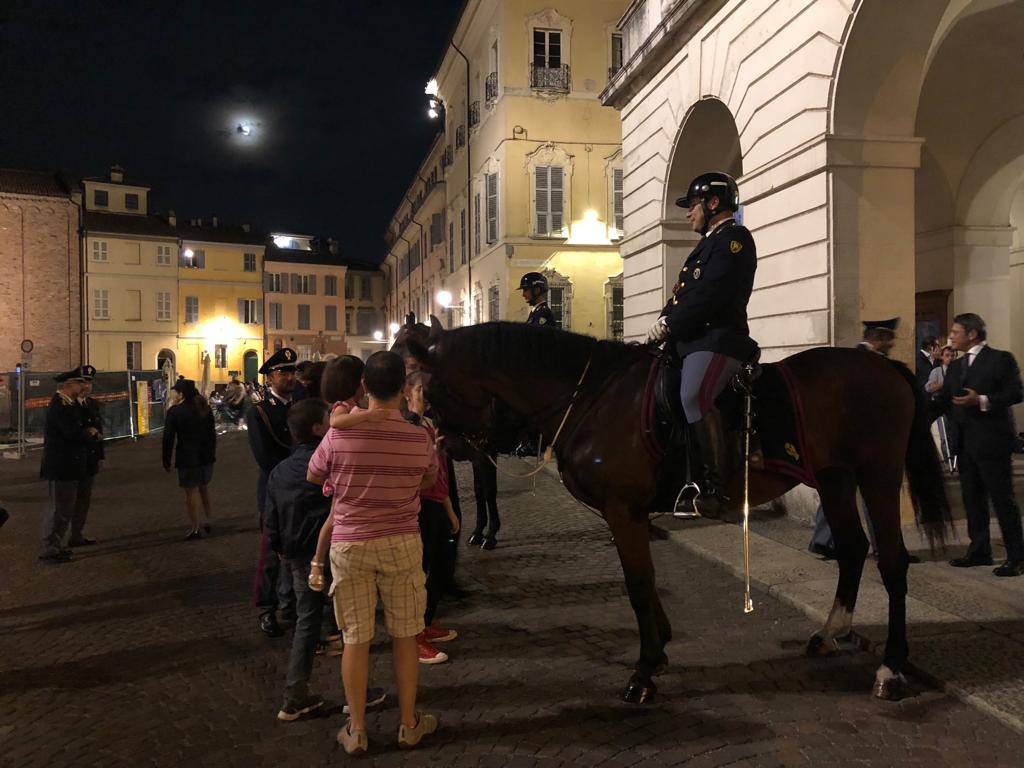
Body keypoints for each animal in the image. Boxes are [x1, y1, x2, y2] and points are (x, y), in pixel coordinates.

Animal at [401, 317, 950, 704]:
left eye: (430, 388)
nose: (446, 449)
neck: (592, 395)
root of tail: (884, 366)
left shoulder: (623, 511)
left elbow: (638, 584)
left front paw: (645, 670)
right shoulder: (630, 514)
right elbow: (642, 583)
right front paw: (659, 648)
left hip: (878, 476)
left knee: (891, 561)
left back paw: (891, 668)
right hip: (834, 480)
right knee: (853, 550)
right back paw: (830, 633)